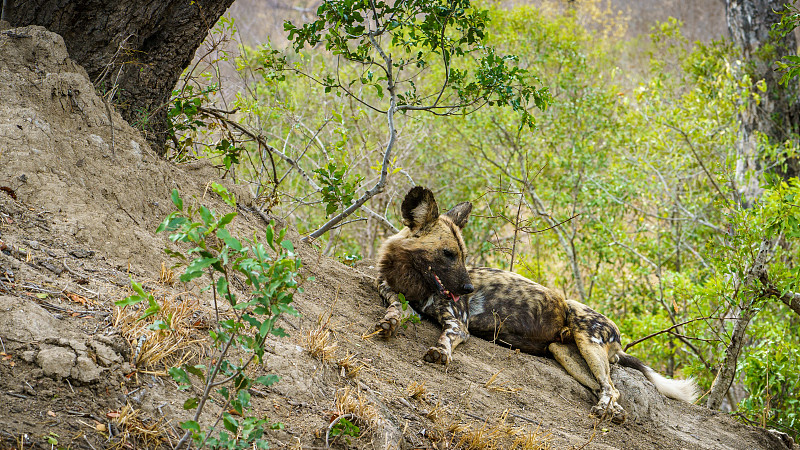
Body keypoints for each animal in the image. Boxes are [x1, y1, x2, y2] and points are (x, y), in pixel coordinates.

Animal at [376, 185, 700, 422]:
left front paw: (440, 352)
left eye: (463, 256)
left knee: (610, 387)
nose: (468, 287)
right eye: (448, 254)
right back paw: (614, 412)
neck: (411, 281)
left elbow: (445, 337)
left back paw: (606, 410)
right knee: (607, 388)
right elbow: (394, 307)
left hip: (587, 340)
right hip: (564, 353)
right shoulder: (392, 293)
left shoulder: (458, 322)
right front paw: (389, 322)